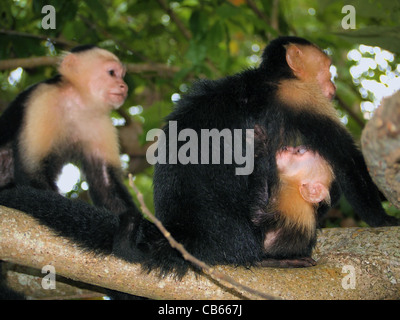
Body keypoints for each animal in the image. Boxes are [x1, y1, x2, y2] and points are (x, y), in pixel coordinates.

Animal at [0, 37, 398, 288]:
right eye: (327, 71)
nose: (332, 86)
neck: (272, 76)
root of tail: (183, 230)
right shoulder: (300, 93)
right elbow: (344, 159)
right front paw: (384, 219)